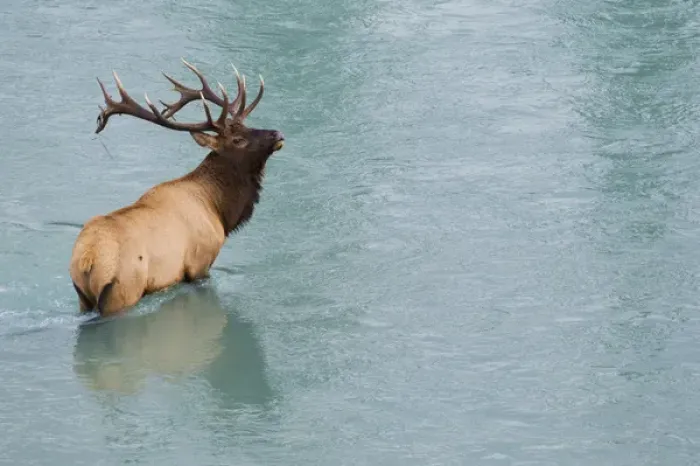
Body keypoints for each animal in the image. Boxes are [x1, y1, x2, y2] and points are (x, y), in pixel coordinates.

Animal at [69, 59, 285, 317]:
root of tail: (87, 259)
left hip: (82, 297)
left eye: (249, 126)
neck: (218, 209)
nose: (277, 133)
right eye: (238, 140)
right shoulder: (200, 262)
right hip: (123, 290)